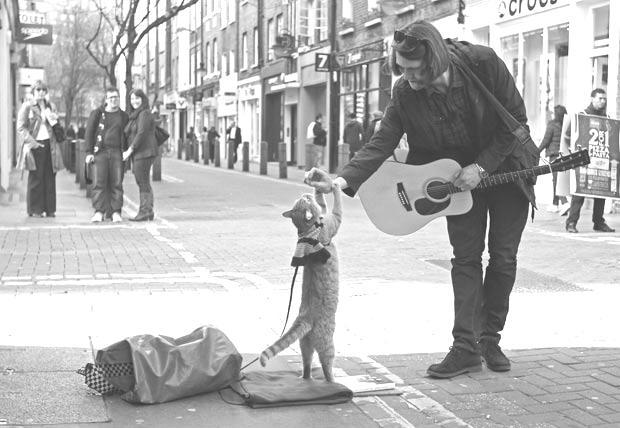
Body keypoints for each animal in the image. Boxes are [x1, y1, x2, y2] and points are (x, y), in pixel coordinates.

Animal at [260, 177, 342, 382]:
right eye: (305, 200)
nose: (306, 193)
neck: (310, 230)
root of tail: (305, 317)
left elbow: (322, 203)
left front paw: (319, 184)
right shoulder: (334, 220)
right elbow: (337, 205)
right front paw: (335, 186)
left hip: (304, 344)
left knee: (306, 365)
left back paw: (306, 379)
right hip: (327, 345)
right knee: (326, 366)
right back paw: (332, 381)